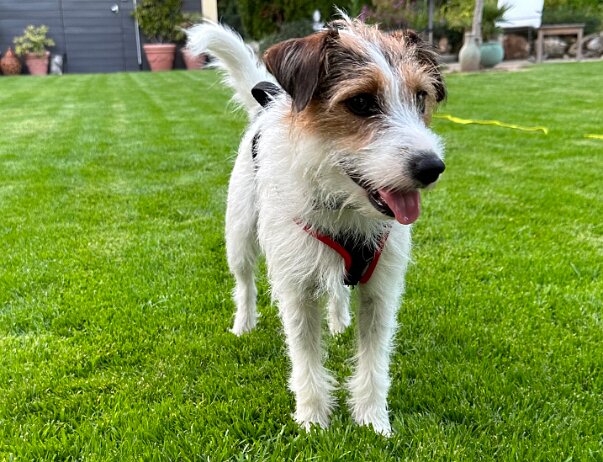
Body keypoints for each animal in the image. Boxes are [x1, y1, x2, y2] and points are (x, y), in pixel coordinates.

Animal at [187, 14, 446, 435]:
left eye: (421, 97)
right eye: (360, 102)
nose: (431, 167)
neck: (343, 207)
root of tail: (264, 106)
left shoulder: (381, 290)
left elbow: (374, 359)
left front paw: (374, 420)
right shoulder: (295, 290)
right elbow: (305, 357)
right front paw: (312, 420)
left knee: (338, 290)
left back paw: (339, 322)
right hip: (239, 235)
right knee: (244, 282)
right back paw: (244, 324)